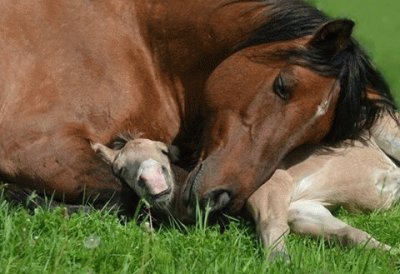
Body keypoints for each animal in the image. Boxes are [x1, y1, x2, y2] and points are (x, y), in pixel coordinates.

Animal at [0, 1, 396, 216]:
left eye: (314, 136)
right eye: (283, 86)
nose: (222, 198)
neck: (138, 40)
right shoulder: (39, 149)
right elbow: (125, 192)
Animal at [247, 112, 400, 260]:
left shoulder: (273, 182)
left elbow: (272, 223)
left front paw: (278, 260)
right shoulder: (301, 209)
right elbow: (350, 234)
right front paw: (393, 253)